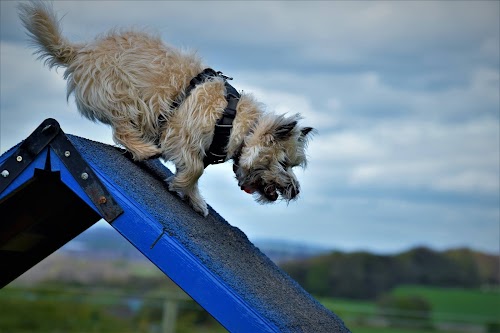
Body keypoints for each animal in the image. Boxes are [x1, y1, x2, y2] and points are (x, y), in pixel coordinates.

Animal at [20, 1, 316, 217]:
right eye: (284, 163)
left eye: (293, 165)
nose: (296, 191)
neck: (234, 121)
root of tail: (80, 53)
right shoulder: (182, 134)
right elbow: (195, 169)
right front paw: (183, 186)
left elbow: (196, 171)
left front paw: (195, 200)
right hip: (124, 97)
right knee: (121, 130)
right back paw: (144, 149)